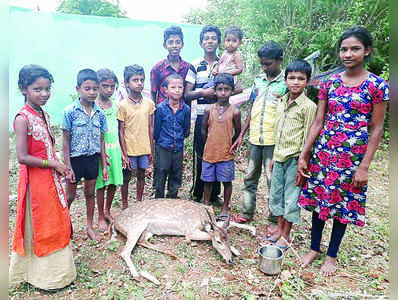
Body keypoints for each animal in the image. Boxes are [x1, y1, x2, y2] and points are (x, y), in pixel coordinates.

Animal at [112, 198, 255, 282]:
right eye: (219, 242)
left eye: (229, 239)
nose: (230, 261)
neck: (202, 218)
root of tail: (115, 222)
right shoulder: (189, 230)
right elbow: (209, 236)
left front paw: (251, 232)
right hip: (135, 227)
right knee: (124, 252)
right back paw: (136, 275)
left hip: (147, 232)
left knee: (142, 241)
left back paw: (171, 253)